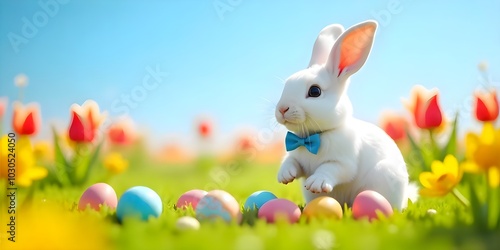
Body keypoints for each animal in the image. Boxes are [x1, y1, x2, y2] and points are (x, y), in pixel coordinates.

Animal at [278, 20, 414, 210]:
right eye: (286, 86)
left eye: (315, 91)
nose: (282, 109)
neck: (315, 136)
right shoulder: (295, 155)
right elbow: (291, 163)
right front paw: (285, 175)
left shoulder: (344, 163)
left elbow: (330, 169)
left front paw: (316, 183)